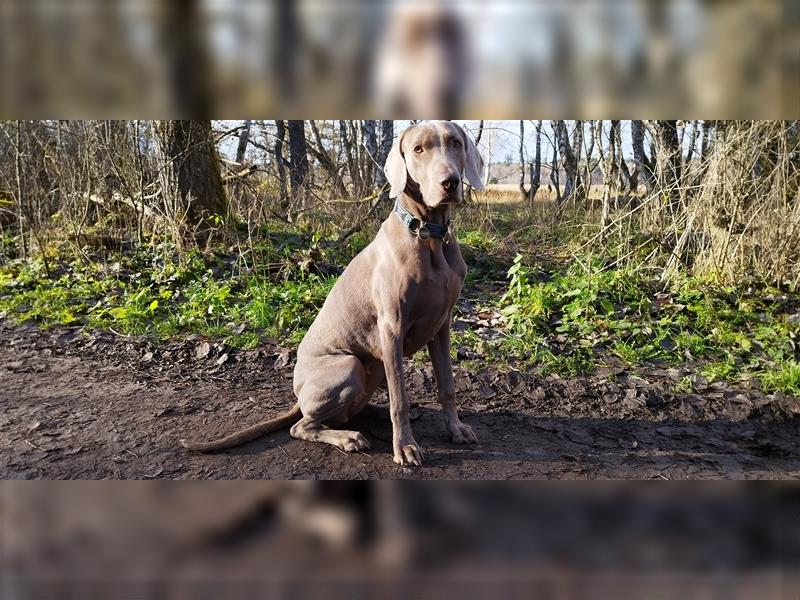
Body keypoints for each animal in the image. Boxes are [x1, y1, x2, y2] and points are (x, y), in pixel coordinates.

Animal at [181, 120, 482, 468]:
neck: (427, 234)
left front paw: (455, 429)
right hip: (349, 366)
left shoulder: (441, 325)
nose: (450, 182)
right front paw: (405, 447)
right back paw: (348, 438)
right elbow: (400, 398)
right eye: (419, 149)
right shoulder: (391, 328)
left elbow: (446, 384)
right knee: (304, 426)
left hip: (373, 366)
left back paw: (376, 415)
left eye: (456, 143)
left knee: (351, 410)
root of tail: (299, 395)